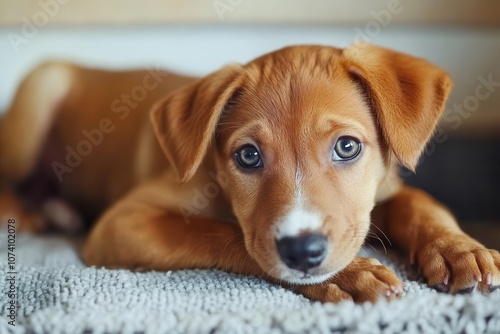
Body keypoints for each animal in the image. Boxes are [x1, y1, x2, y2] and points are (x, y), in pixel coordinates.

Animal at [0, 43, 500, 302]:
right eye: (247, 157)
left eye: (347, 147)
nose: (302, 251)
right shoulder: (122, 222)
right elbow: (219, 232)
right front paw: (352, 274)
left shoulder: (384, 188)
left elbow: (419, 203)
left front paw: (459, 249)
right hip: (38, 97)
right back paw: (26, 214)